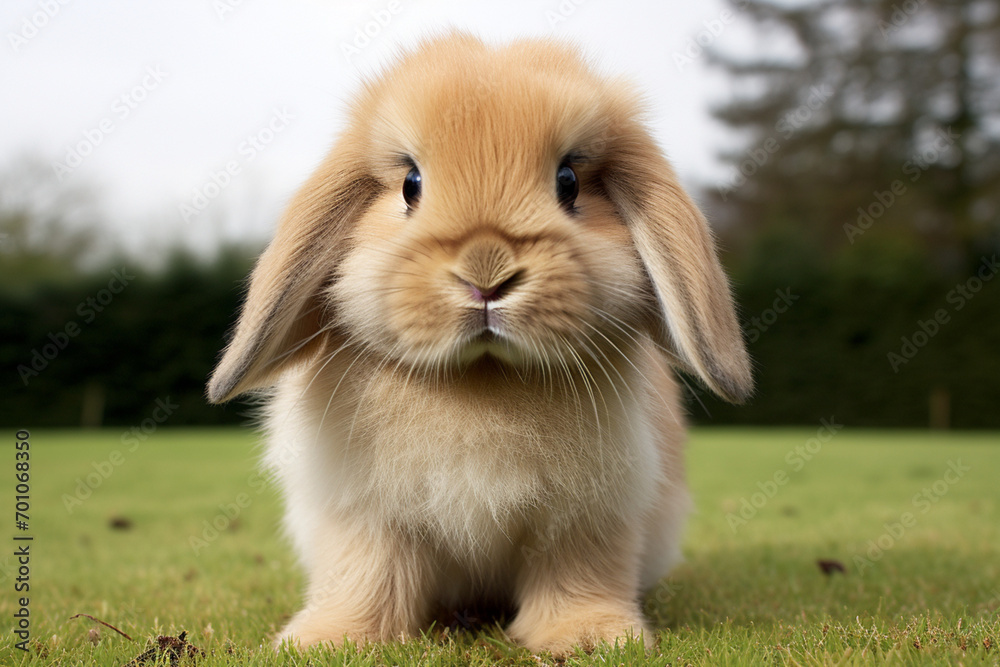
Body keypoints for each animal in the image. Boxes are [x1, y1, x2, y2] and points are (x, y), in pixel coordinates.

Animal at [207, 32, 751, 657]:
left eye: (568, 182)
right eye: (410, 185)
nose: (486, 272)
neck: (482, 380)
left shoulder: (586, 517)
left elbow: (578, 575)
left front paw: (589, 639)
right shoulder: (364, 515)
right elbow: (365, 576)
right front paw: (330, 641)